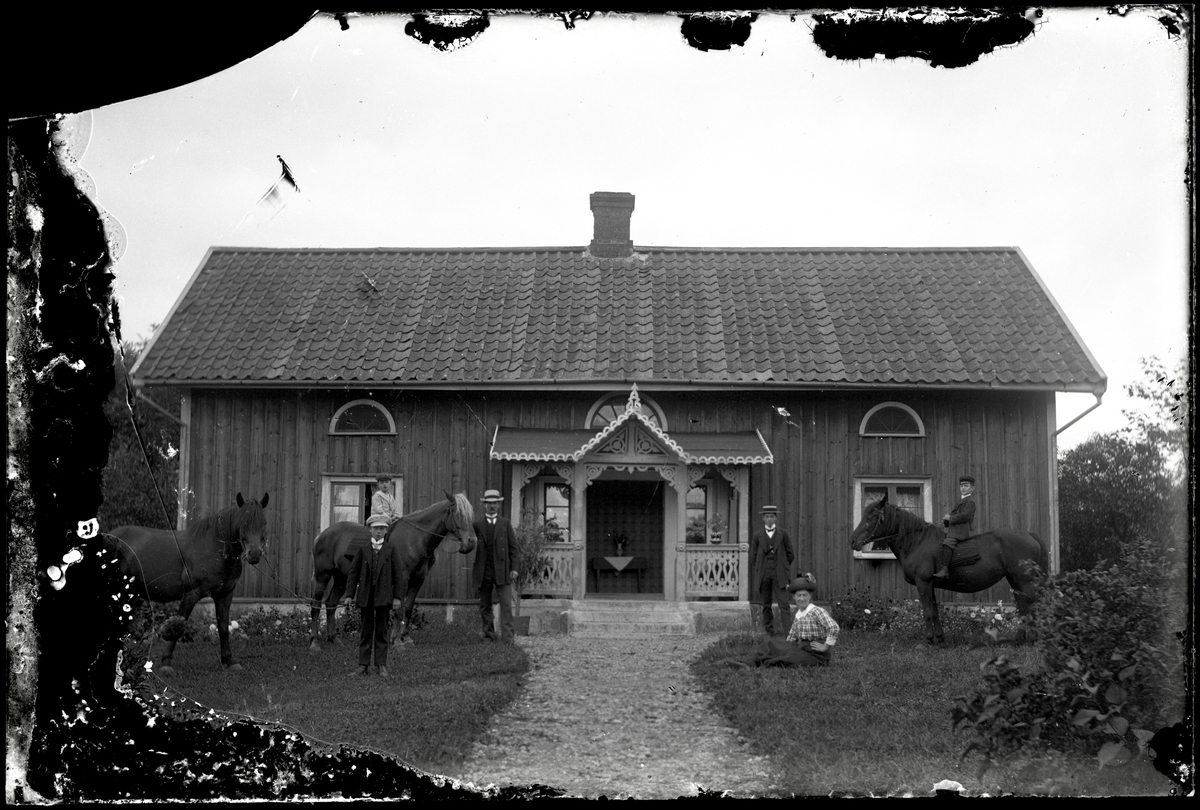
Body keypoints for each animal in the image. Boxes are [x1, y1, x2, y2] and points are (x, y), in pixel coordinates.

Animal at [107, 492, 269, 676]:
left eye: (263, 523)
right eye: (243, 523)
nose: (254, 554)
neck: (211, 547)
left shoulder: (225, 594)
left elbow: (223, 627)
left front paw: (229, 661)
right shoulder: (191, 594)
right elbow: (179, 627)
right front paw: (166, 663)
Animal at [308, 492, 477, 653]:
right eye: (457, 513)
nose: (471, 542)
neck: (414, 539)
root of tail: (321, 536)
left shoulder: (418, 580)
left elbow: (408, 608)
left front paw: (406, 639)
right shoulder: (402, 579)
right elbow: (399, 610)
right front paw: (397, 642)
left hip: (341, 578)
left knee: (331, 603)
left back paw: (334, 639)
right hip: (323, 575)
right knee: (315, 606)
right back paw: (315, 643)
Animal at [849, 494, 1046, 644]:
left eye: (871, 518)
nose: (852, 541)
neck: (917, 542)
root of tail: (1029, 534)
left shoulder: (923, 583)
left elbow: (928, 612)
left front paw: (928, 640)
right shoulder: (930, 585)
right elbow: (935, 612)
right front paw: (939, 638)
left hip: (1023, 580)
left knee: (1031, 604)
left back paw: (1032, 638)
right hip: (1014, 579)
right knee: (1022, 605)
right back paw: (1019, 639)